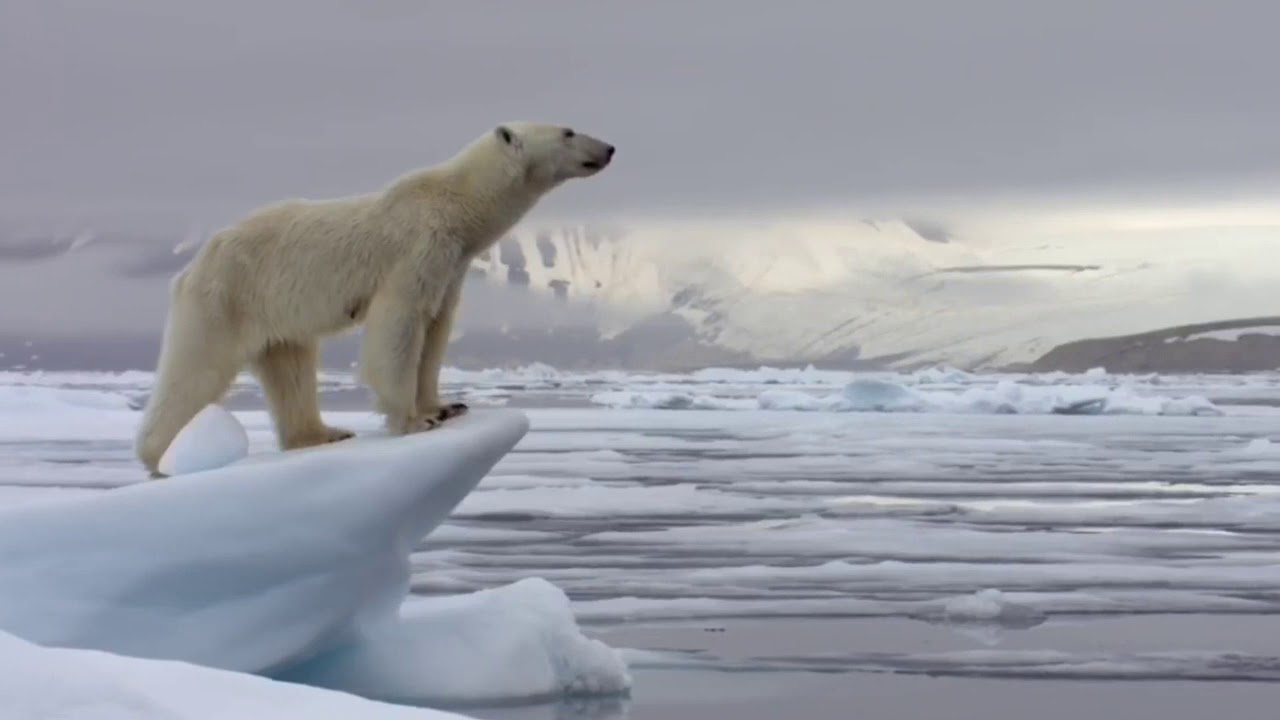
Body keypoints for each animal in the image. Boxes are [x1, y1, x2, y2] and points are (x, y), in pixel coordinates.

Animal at [134, 122, 615, 476]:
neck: (457, 208)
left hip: (276, 313)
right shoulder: (416, 250)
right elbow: (399, 327)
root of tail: (194, 264)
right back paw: (162, 457)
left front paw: (446, 406)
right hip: (226, 297)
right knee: (196, 369)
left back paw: (323, 433)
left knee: (290, 368)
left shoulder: (449, 267)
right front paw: (413, 420)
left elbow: (435, 331)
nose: (610, 148)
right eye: (569, 130)